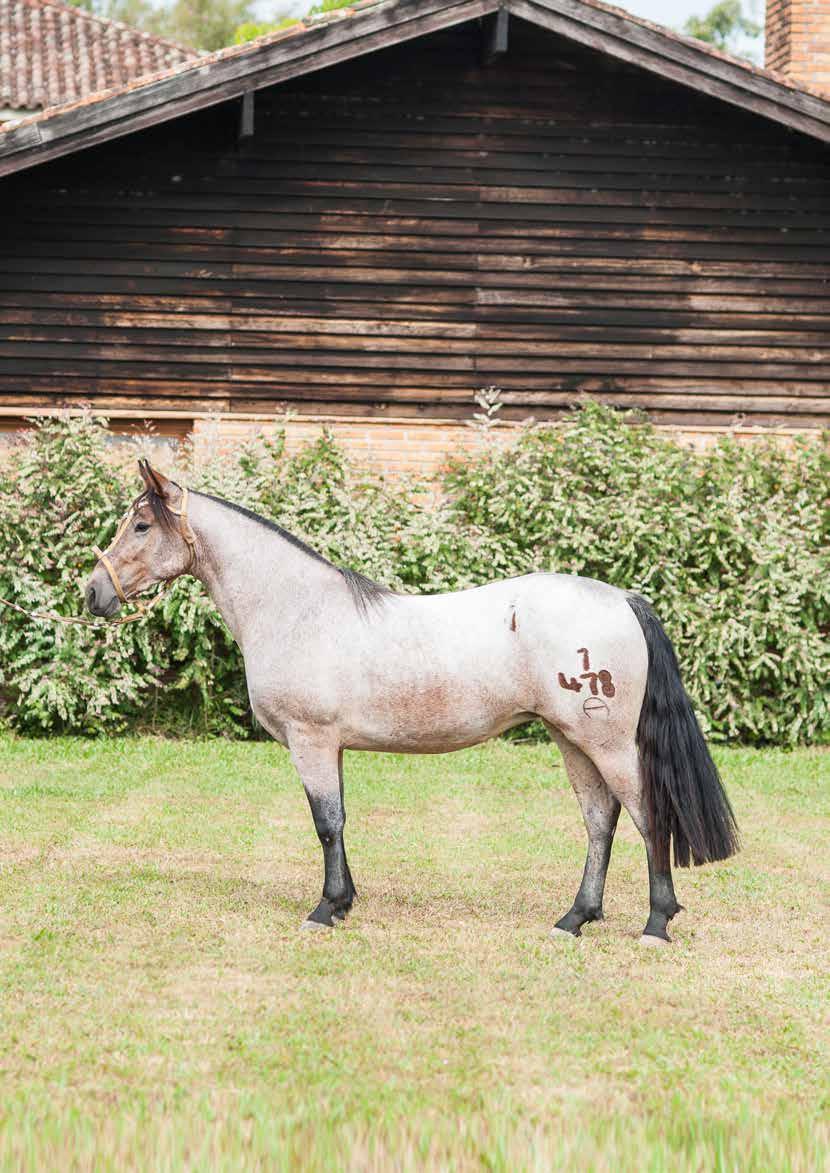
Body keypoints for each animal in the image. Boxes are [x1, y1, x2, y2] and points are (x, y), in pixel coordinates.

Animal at [86, 457, 740, 943]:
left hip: (606, 743)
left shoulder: (311, 740)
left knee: (646, 817)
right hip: (572, 739)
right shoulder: (331, 746)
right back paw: (574, 919)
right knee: (599, 821)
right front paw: (344, 903)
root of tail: (623, 599)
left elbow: (326, 824)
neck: (296, 608)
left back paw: (655, 924)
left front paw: (323, 911)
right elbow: (339, 820)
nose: (93, 593)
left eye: (140, 527)